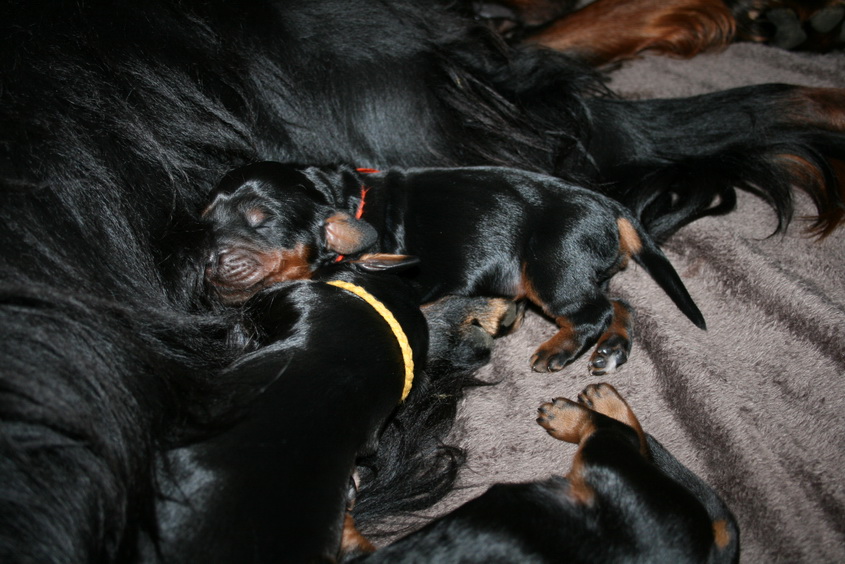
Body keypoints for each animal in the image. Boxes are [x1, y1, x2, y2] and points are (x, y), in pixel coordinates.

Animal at [202, 162, 706, 374]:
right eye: (206, 223)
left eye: (261, 220)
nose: (209, 262)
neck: (343, 198)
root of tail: (610, 205)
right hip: (573, 271)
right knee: (618, 303)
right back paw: (612, 348)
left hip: (553, 266)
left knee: (592, 311)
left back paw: (559, 349)